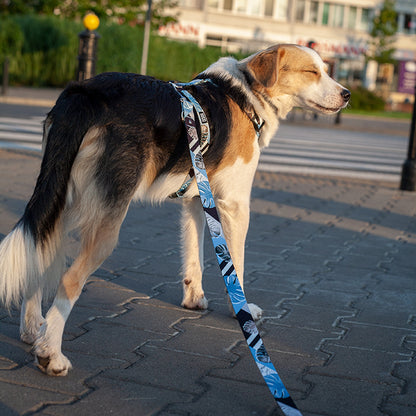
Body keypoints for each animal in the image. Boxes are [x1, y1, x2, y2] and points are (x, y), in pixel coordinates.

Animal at [0, 44, 350, 376]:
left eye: (325, 69)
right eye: (312, 72)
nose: (347, 94)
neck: (247, 94)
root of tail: (86, 93)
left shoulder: (197, 200)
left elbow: (194, 256)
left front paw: (193, 299)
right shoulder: (235, 204)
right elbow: (236, 266)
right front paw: (241, 311)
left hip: (61, 201)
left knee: (39, 255)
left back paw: (33, 331)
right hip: (106, 221)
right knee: (70, 279)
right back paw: (50, 355)